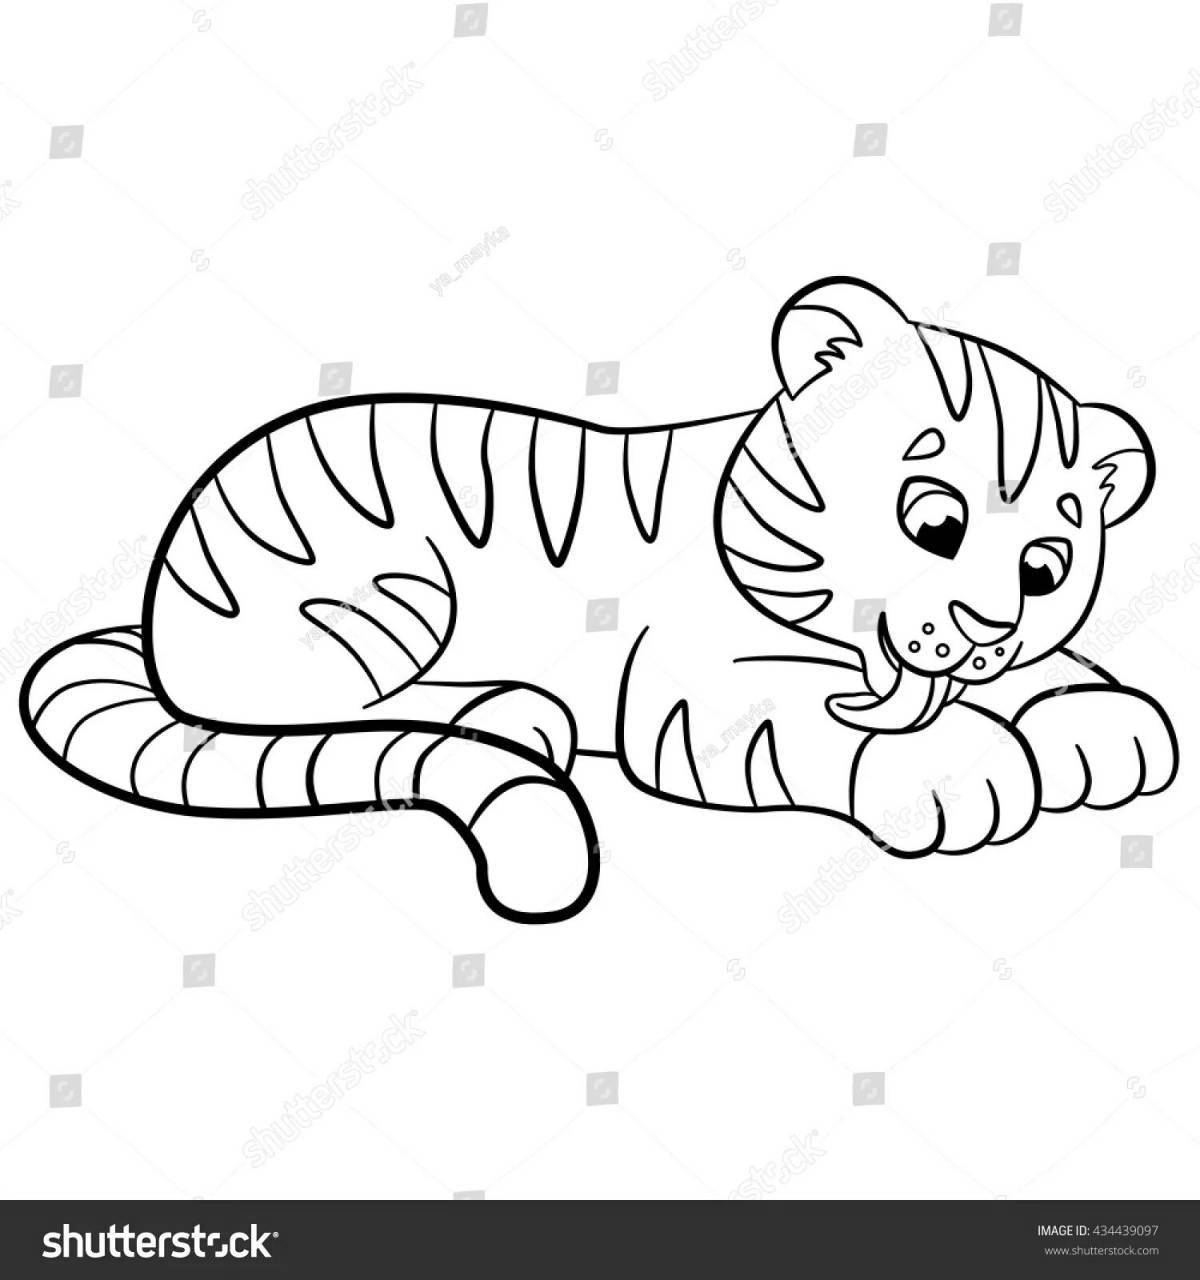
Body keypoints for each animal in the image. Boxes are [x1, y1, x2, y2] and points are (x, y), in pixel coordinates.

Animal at [20, 276, 1177, 922]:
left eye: (1045, 568)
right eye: (933, 520)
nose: (989, 627)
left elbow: (1059, 674)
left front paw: (1103, 725)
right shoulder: (706, 691)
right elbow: (831, 718)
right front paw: (963, 770)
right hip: (379, 592)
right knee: (285, 712)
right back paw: (512, 713)